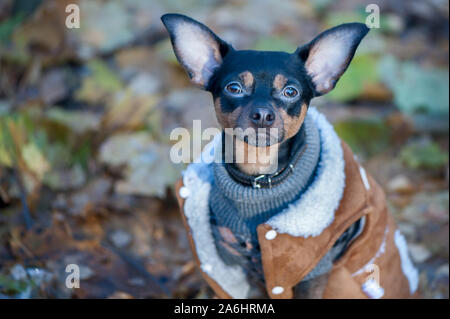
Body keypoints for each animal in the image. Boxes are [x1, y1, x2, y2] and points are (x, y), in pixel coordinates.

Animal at [163, 13, 422, 300]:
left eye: (291, 92)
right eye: (234, 88)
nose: (263, 115)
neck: (259, 179)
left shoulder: (315, 270)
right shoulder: (238, 264)